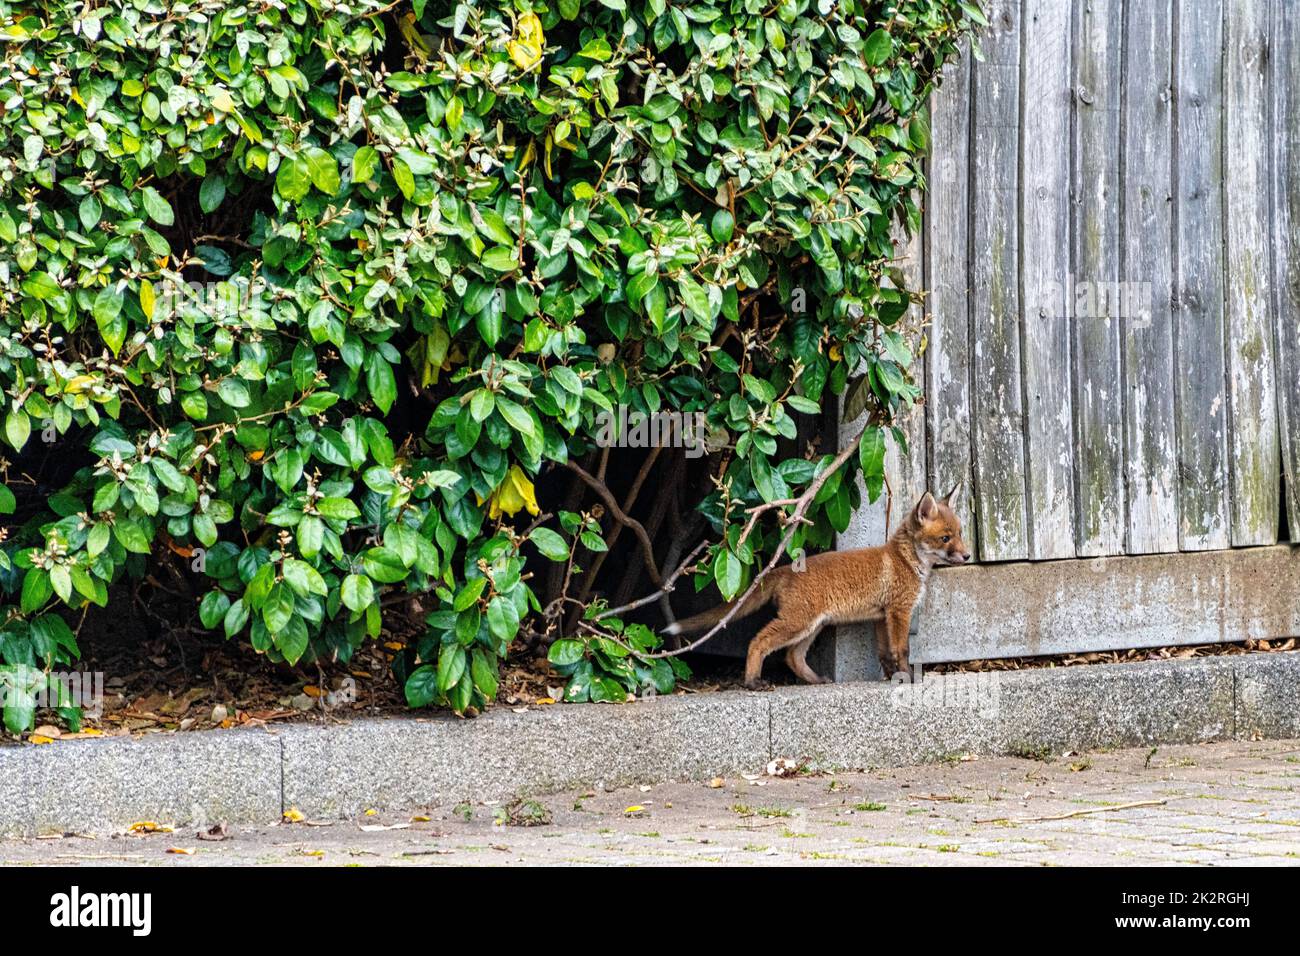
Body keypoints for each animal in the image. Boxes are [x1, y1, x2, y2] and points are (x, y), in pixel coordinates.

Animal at [665, 489, 972, 686]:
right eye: (945, 538)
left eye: (960, 533)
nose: (968, 556)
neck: (905, 560)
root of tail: (784, 568)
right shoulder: (899, 611)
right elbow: (902, 650)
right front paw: (907, 678)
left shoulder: (881, 616)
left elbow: (886, 653)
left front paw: (891, 677)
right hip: (797, 623)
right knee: (759, 642)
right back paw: (752, 681)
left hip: (813, 627)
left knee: (792, 657)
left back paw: (815, 680)